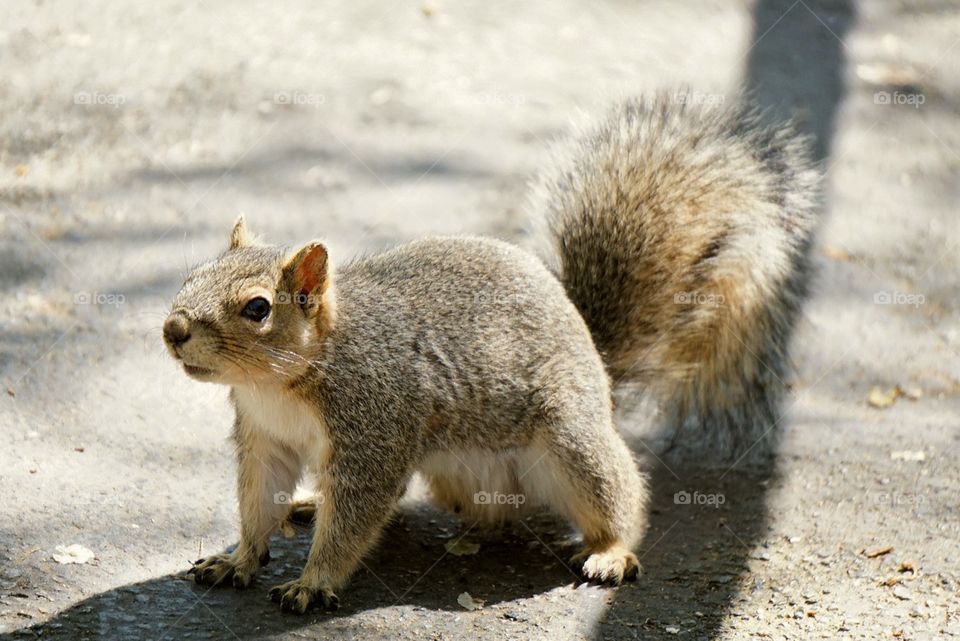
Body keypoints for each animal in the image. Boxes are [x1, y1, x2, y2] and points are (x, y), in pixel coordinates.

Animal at [163, 93, 819, 614]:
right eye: (194, 274)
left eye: (257, 308)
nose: (172, 328)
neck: (281, 382)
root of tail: (598, 366)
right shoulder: (264, 438)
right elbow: (258, 499)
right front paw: (238, 559)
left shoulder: (373, 429)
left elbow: (355, 513)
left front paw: (313, 582)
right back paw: (309, 505)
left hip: (572, 441)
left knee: (619, 495)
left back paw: (611, 552)